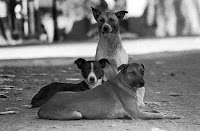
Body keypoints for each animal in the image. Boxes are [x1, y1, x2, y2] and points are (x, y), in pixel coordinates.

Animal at [37, 63, 180, 120]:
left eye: (142, 71)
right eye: (132, 72)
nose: (142, 83)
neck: (124, 83)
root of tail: (43, 107)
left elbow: (157, 110)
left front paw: (171, 113)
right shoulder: (137, 114)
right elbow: (159, 114)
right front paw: (170, 116)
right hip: (76, 114)